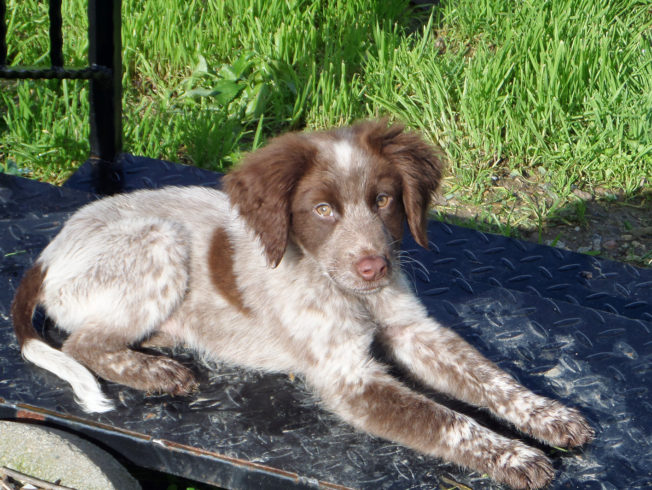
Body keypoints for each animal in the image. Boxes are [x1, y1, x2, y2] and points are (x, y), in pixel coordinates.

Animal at [10, 121, 592, 486]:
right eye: (322, 210)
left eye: (383, 199)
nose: (375, 267)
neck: (345, 291)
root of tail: (48, 252)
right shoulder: (350, 378)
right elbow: (449, 420)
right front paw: (516, 455)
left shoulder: (413, 330)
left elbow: (492, 378)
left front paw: (550, 415)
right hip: (159, 240)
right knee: (84, 343)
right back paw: (156, 372)